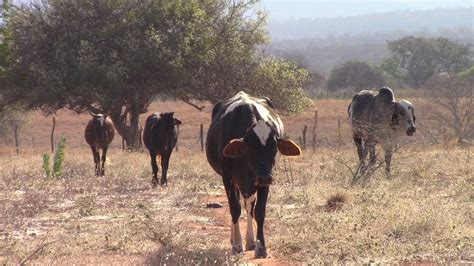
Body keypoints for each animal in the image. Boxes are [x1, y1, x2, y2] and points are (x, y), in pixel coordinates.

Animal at [206, 91, 302, 258]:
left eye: (274, 149)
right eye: (251, 148)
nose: (264, 177)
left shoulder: (264, 181)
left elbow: (259, 211)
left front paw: (261, 247)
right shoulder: (227, 177)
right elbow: (234, 209)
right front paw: (237, 245)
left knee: (249, 206)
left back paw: (250, 241)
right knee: (239, 206)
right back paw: (235, 239)